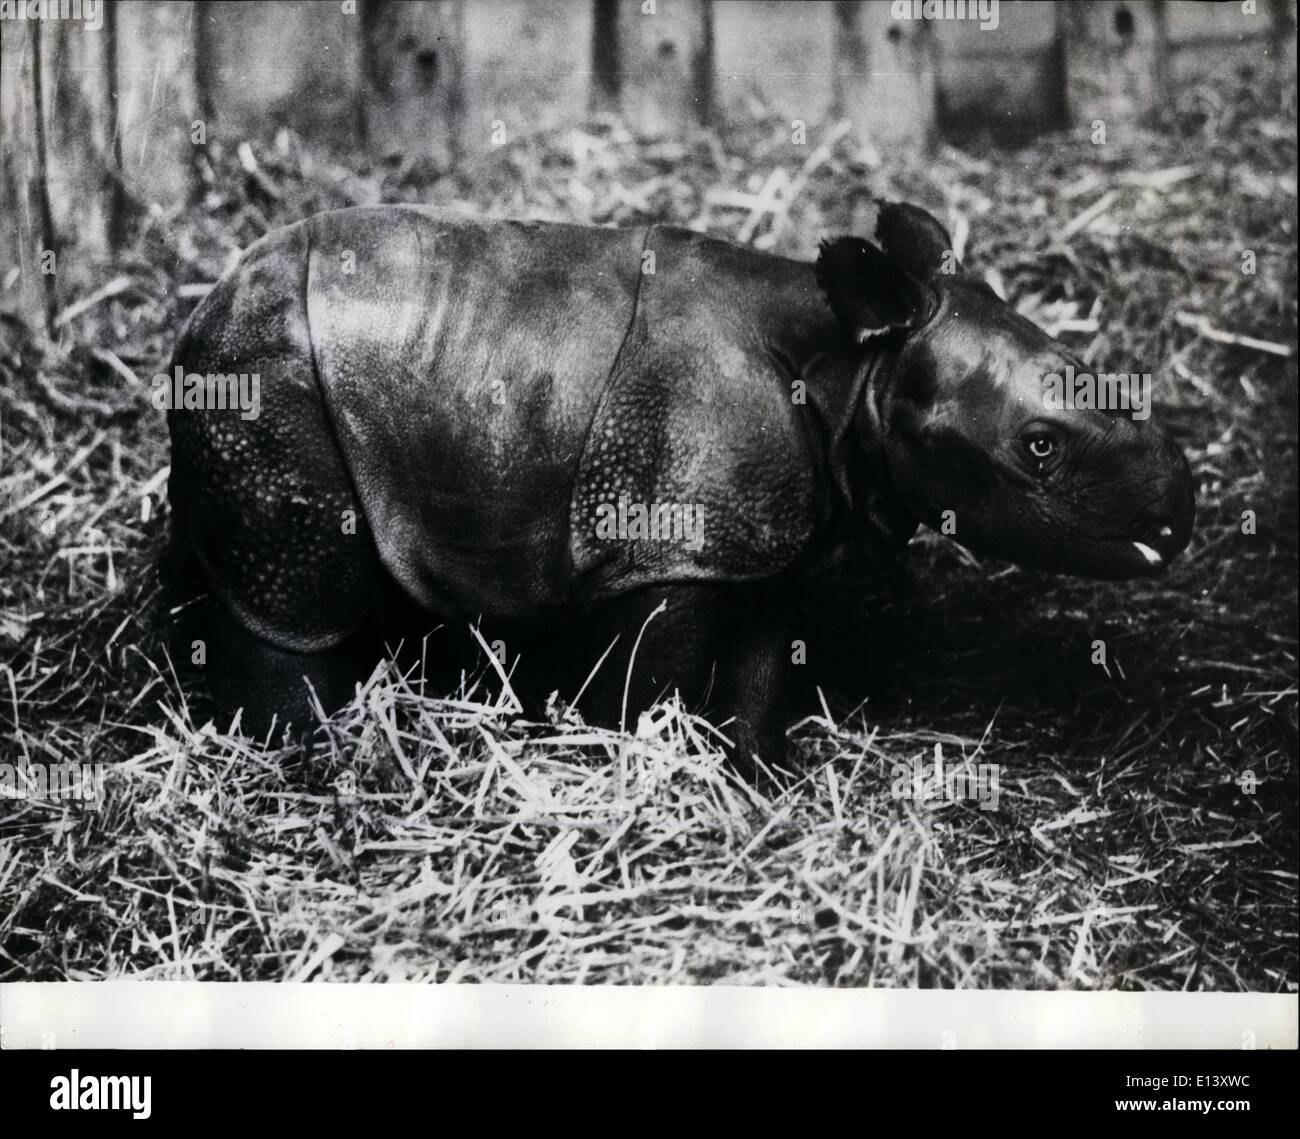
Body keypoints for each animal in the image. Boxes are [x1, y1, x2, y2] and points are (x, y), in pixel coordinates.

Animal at [163, 202, 1195, 769]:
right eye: (1039, 447)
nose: (1179, 509)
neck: (856, 368)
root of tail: (201, 313)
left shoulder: (763, 536)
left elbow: (760, 669)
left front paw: (755, 778)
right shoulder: (666, 545)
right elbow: (646, 682)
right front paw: (639, 765)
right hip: (272, 378)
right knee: (296, 604)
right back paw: (314, 761)